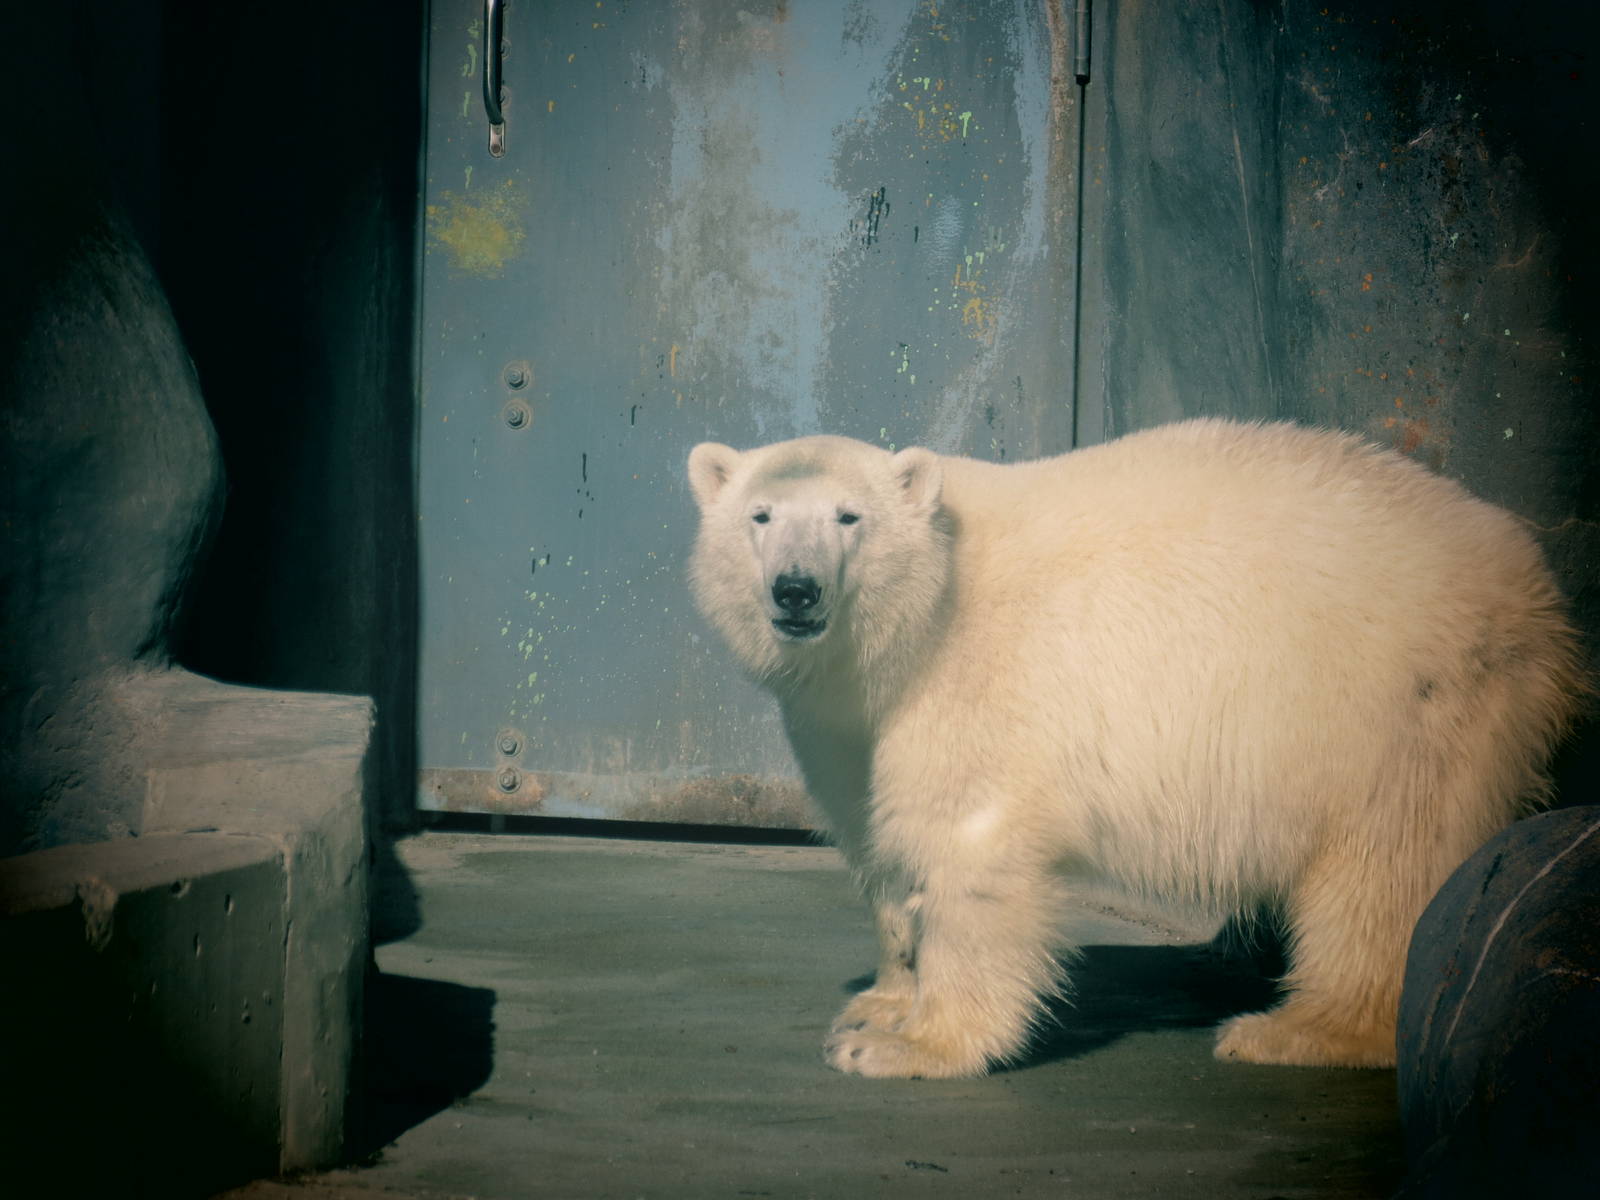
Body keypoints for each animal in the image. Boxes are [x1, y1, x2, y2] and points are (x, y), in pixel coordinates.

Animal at [686, 418, 1583, 1079]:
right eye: (760, 518)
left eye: (850, 517)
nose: (796, 590)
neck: (927, 616)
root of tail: (1537, 595)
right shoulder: (849, 723)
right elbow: (880, 839)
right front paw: (878, 999)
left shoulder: (977, 684)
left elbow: (968, 844)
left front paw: (907, 1045)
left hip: (1404, 704)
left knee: (1385, 867)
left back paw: (1295, 1030)